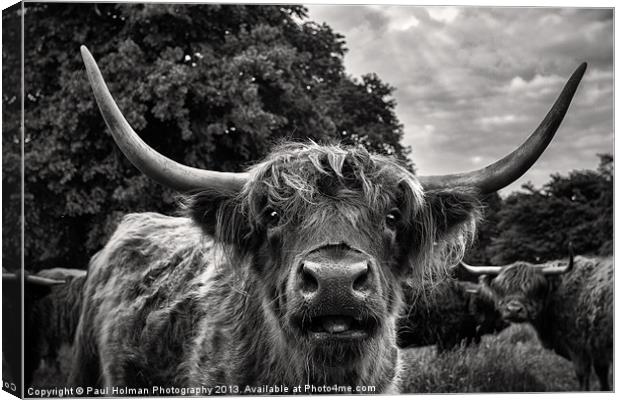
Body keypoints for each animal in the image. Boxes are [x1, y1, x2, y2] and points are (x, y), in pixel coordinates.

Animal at [462, 253, 612, 390]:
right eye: (501, 287)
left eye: (535, 288)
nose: (513, 310)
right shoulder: (597, 350)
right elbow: (602, 377)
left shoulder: (578, 347)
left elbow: (583, 377)